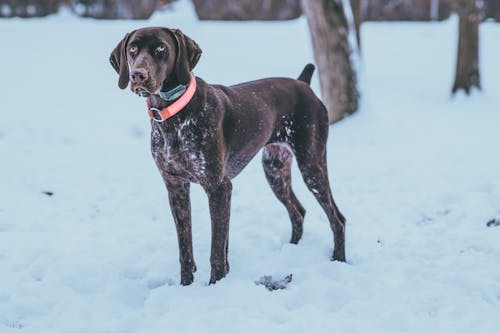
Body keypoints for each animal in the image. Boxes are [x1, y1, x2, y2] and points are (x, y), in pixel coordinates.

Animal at [109, 26, 346, 286]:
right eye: (132, 49)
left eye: (161, 48)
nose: (138, 75)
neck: (173, 114)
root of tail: (303, 84)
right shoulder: (176, 187)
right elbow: (186, 247)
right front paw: (186, 285)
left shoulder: (218, 187)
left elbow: (217, 250)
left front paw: (215, 285)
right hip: (275, 169)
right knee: (298, 212)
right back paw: (291, 251)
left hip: (311, 164)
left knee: (337, 218)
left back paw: (339, 260)